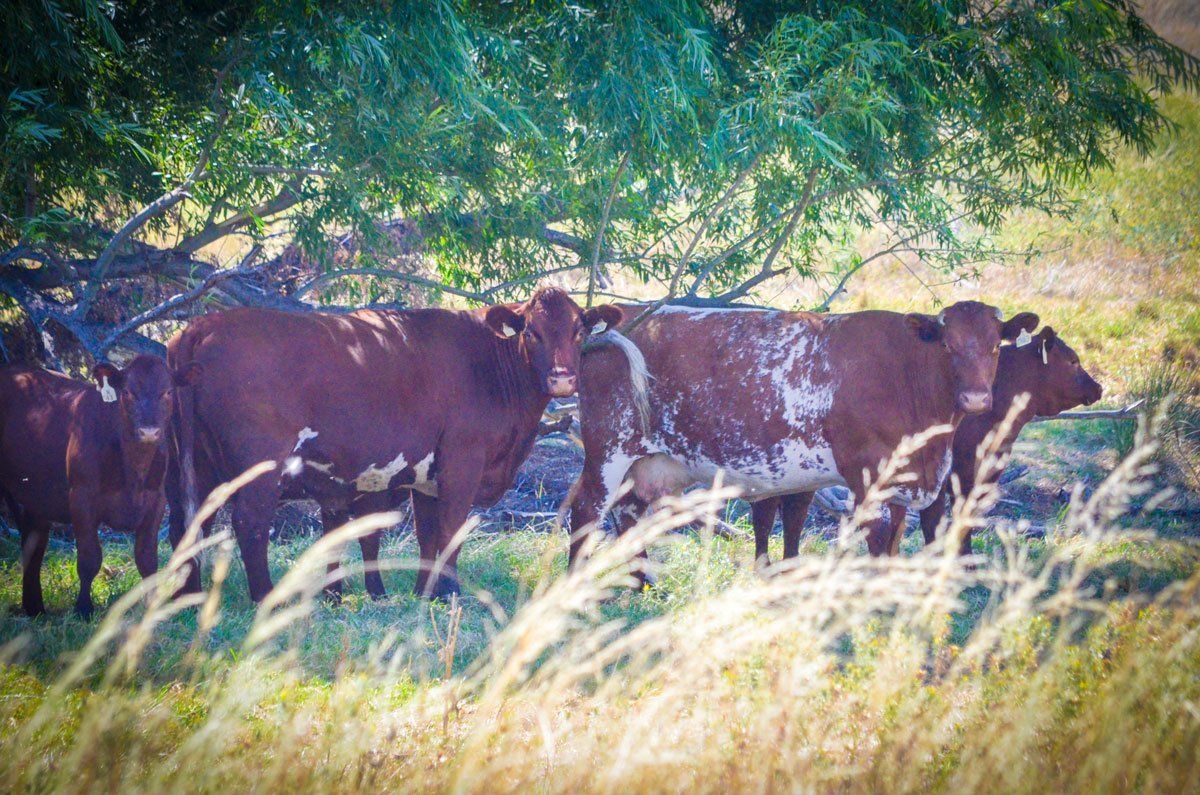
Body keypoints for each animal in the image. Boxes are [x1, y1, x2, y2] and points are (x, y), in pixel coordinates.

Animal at [0, 356, 185, 616]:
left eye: (168, 391)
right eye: (127, 392)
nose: (149, 431)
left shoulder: (156, 501)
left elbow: (147, 560)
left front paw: (151, 608)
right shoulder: (81, 498)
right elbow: (89, 558)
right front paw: (83, 609)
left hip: (34, 497)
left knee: (33, 543)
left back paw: (35, 608)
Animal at [166, 287, 625, 602]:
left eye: (579, 329)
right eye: (532, 332)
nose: (563, 379)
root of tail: (202, 326)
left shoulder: (427, 477)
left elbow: (427, 536)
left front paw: (424, 592)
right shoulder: (462, 461)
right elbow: (451, 530)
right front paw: (450, 593)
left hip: (197, 465)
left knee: (189, 524)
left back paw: (189, 596)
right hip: (259, 468)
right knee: (249, 523)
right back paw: (266, 599)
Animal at [566, 301, 1038, 576]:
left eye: (995, 347)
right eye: (948, 346)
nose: (977, 399)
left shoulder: (915, 479)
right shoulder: (866, 474)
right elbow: (876, 538)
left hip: (649, 461)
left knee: (628, 511)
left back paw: (643, 581)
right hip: (608, 448)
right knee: (587, 509)